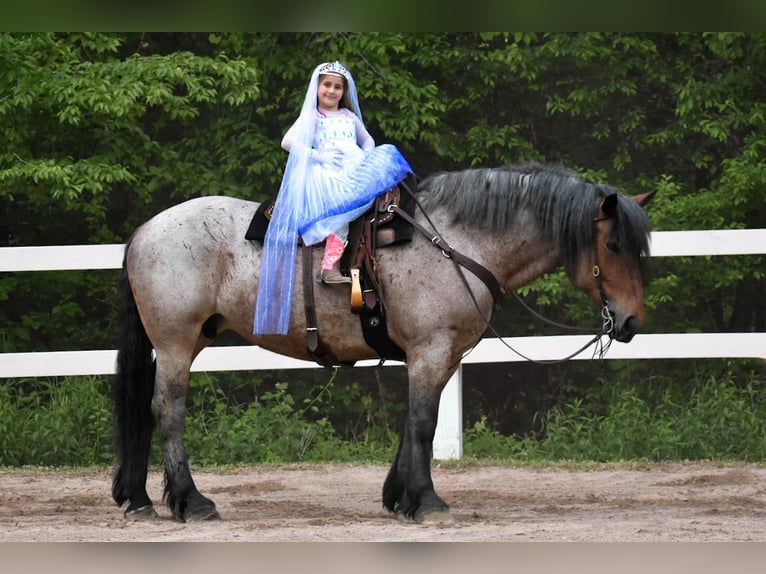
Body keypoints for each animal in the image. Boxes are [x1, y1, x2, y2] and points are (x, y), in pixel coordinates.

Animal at [111, 162, 656, 528]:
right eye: (613, 245)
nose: (630, 321)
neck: (459, 243)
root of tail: (145, 230)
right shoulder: (430, 350)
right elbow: (423, 423)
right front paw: (428, 502)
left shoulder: (439, 355)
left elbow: (414, 422)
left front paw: (400, 497)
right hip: (176, 343)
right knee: (168, 411)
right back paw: (191, 501)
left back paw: (140, 499)